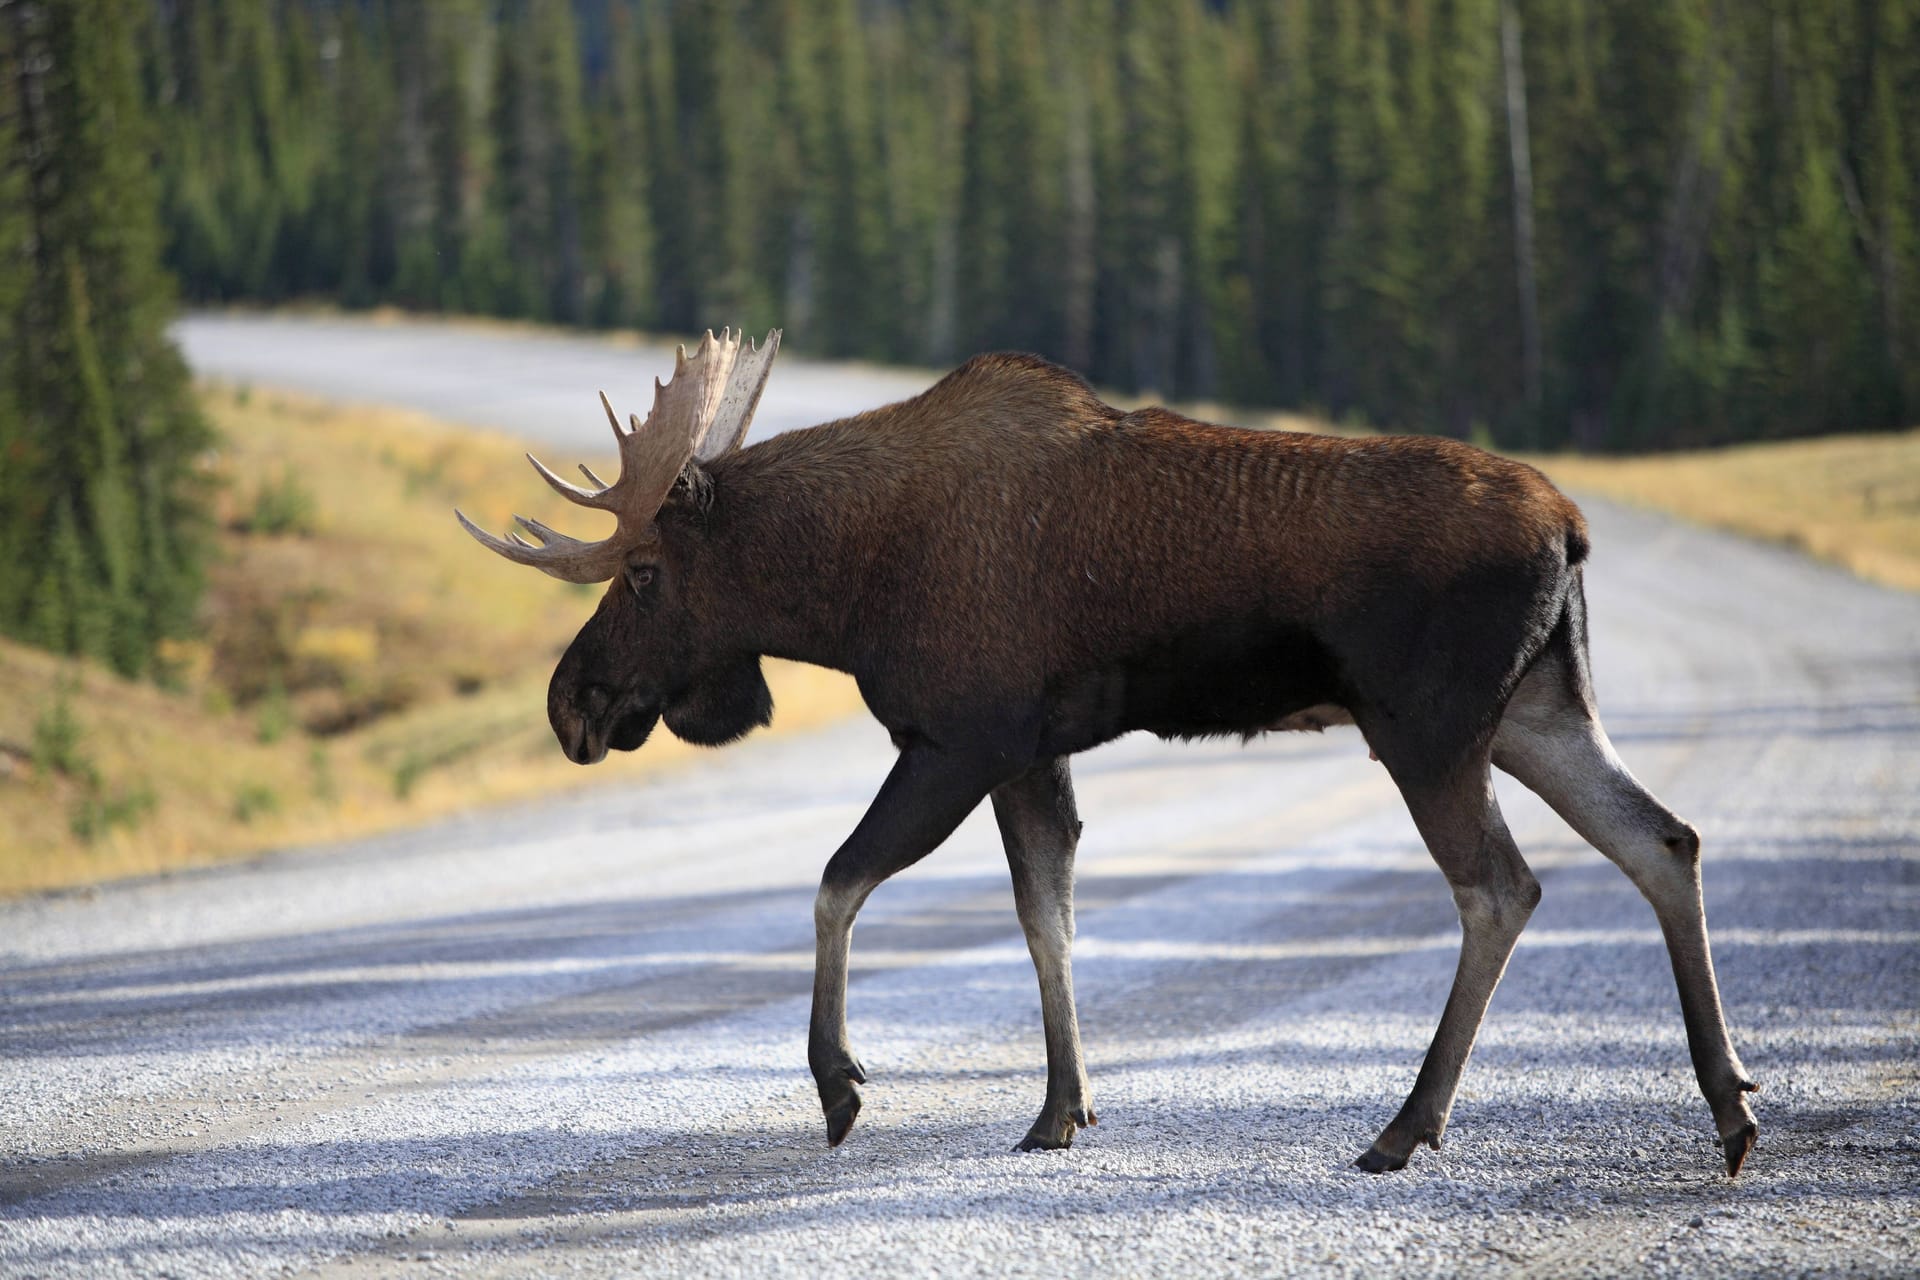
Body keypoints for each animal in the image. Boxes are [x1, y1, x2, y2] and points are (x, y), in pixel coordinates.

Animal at [460, 333, 1758, 1182]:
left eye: (641, 572)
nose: (570, 703)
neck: (842, 586)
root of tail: (1571, 527)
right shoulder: (1030, 753)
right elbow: (1049, 912)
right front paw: (1061, 1106)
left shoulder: (958, 736)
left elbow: (837, 882)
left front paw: (840, 1083)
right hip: (1538, 711)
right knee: (1664, 837)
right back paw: (1730, 1104)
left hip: (1428, 727)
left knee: (1502, 886)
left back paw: (1407, 1125)